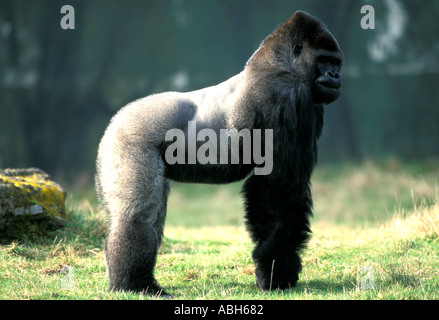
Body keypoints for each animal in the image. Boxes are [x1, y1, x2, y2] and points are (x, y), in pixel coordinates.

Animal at [96, 10, 344, 296]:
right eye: (324, 60)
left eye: (336, 62)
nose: (335, 75)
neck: (278, 63)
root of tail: (114, 121)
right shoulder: (285, 94)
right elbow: (278, 188)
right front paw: (276, 273)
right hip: (128, 140)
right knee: (137, 213)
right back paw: (134, 283)